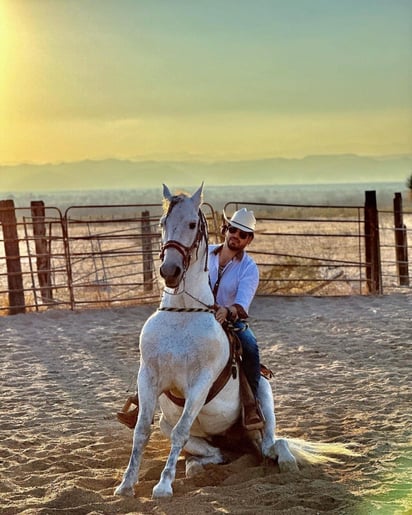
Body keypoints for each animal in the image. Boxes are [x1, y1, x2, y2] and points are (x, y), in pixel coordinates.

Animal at [114, 185, 356, 500]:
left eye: (191, 224)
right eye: (162, 224)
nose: (170, 271)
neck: (182, 315)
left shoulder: (200, 384)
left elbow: (180, 430)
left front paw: (163, 486)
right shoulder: (148, 378)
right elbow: (142, 431)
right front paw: (125, 485)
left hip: (262, 405)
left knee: (275, 444)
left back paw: (286, 463)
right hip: (187, 431)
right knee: (212, 453)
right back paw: (197, 466)